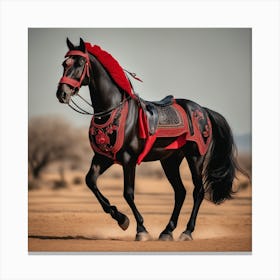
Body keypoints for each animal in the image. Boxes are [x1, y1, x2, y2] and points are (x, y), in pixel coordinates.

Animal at [55, 38, 240, 242]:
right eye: (64, 64)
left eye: (80, 63)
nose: (62, 93)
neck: (112, 111)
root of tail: (204, 110)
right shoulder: (104, 157)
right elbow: (90, 181)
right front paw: (121, 218)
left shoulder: (128, 160)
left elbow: (128, 193)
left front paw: (141, 229)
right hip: (170, 161)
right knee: (180, 192)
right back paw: (167, 231)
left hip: (195, 157)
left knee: (197, 191)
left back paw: (187, 232)